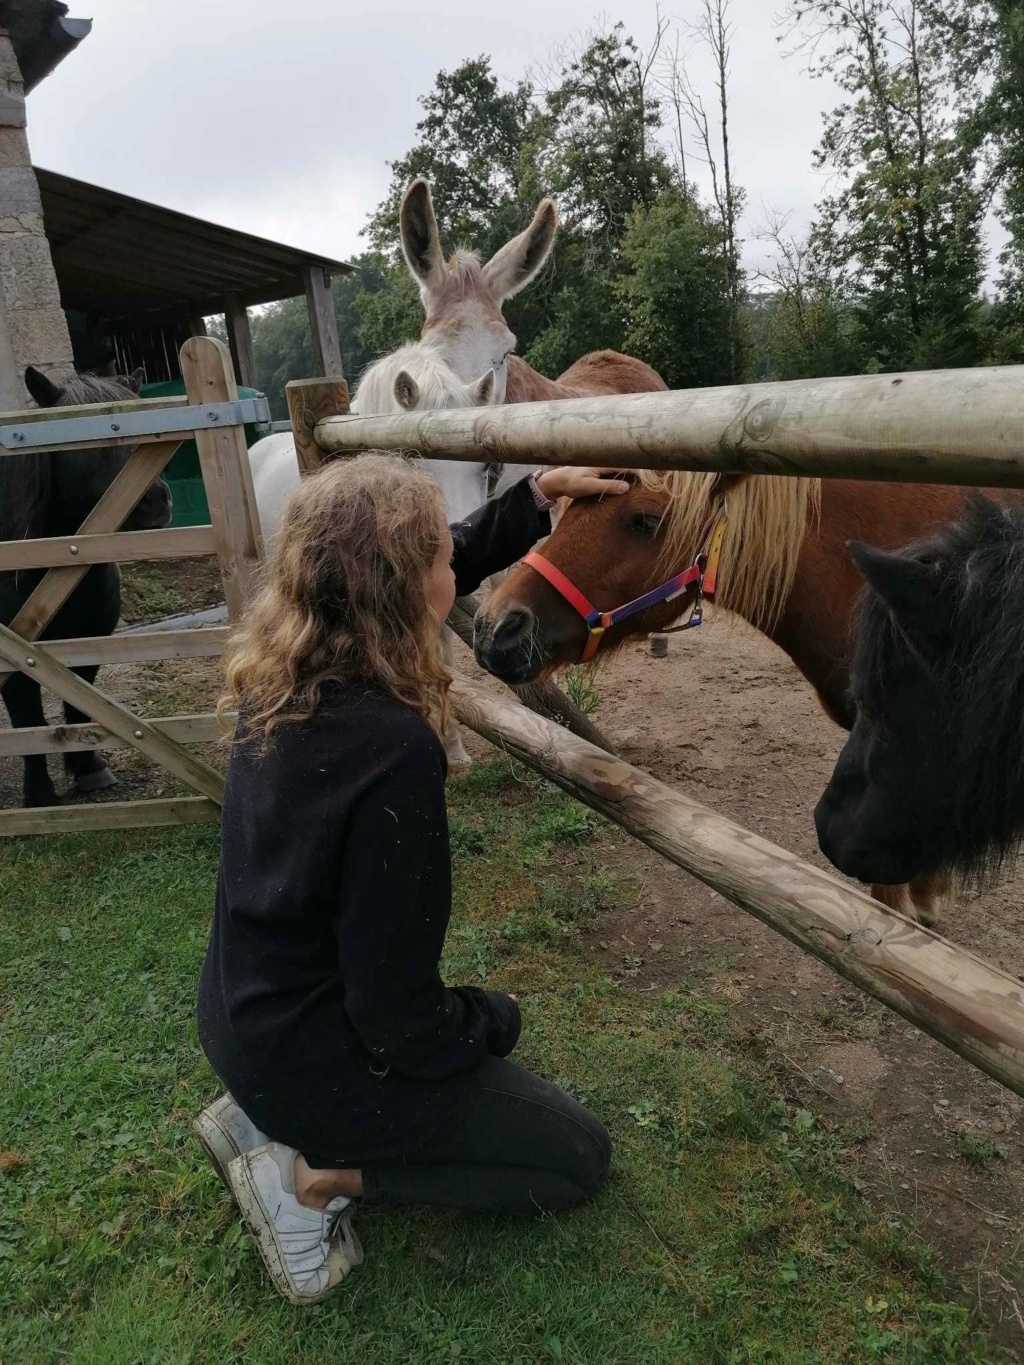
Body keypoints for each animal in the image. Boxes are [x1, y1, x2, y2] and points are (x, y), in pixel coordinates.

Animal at [1, 368, 173, 802]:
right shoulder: (13, 653)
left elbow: (80, 704)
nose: (155, 501)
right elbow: (27, 717)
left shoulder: (89, 639)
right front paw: (39, 793)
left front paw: (88, 768)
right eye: (81, 440)